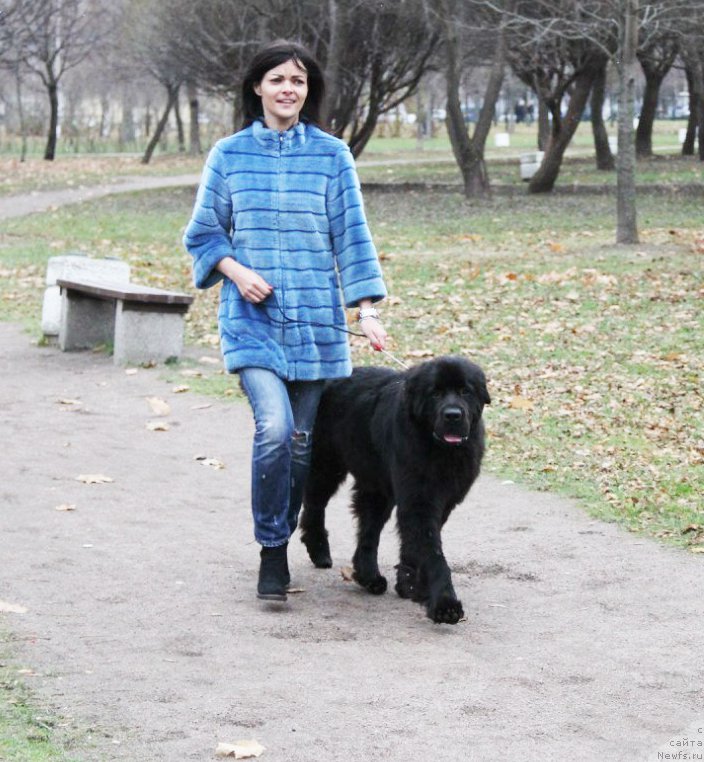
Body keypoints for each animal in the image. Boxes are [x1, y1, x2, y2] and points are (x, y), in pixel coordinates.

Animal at [298, 356, 490, 624]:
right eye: (435, 393)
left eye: (465, 391)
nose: (453, 415)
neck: (440, 451)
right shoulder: (418, 500)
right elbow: (434, 553)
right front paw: (445, 603)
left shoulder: (440, 502)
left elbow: (415, 545)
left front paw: (410, 584)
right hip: (327, 466)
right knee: (315, 505)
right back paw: (319, 549)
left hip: (377, 486)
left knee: (368, 530)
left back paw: (368, 576)